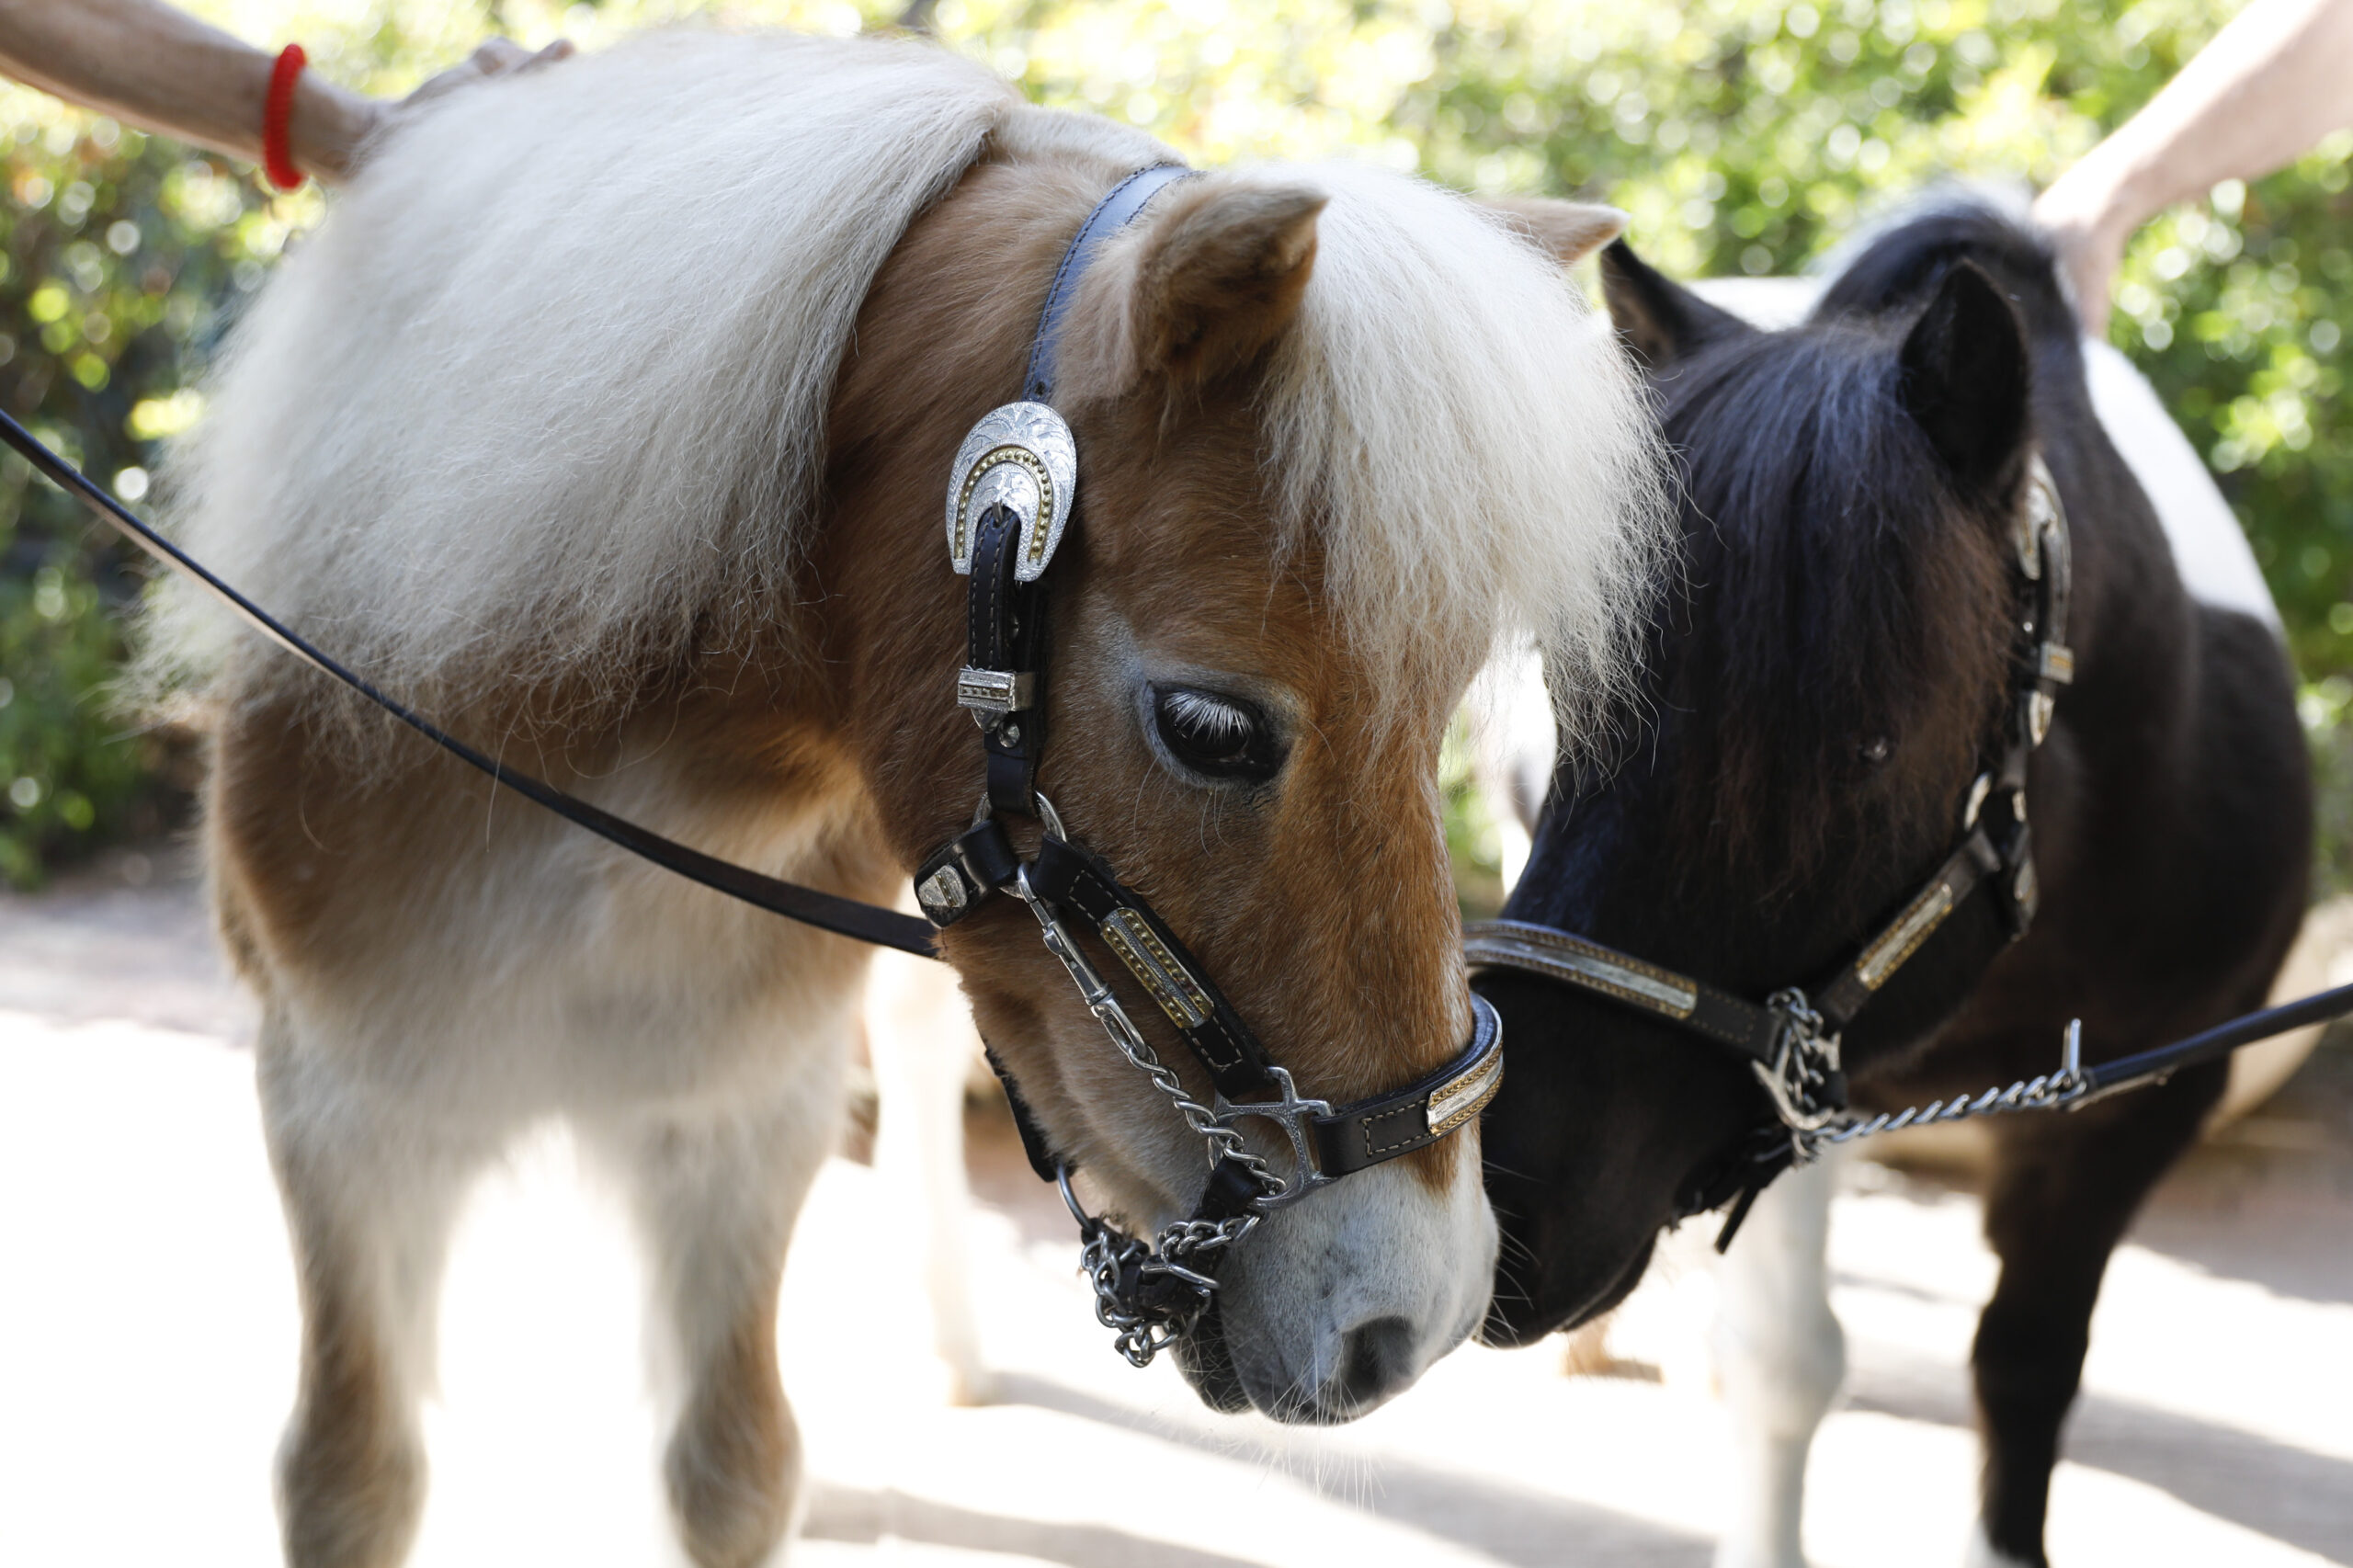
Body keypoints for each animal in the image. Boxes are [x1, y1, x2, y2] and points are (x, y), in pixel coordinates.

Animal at [138, 29, 1666, 1568]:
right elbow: (354, 1477)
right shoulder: (344, 1110)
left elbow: (734, 1465)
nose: (1415, 1312)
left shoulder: (739, 1117)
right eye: (1212, 727)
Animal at [1469, 202, 2310, 1568]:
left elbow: (2027, 1362)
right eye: (1566, 695)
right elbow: (1783, 1366)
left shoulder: (2143, 1100)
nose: (1504, 1210)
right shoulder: (1787, 1095)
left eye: (1860, 744)